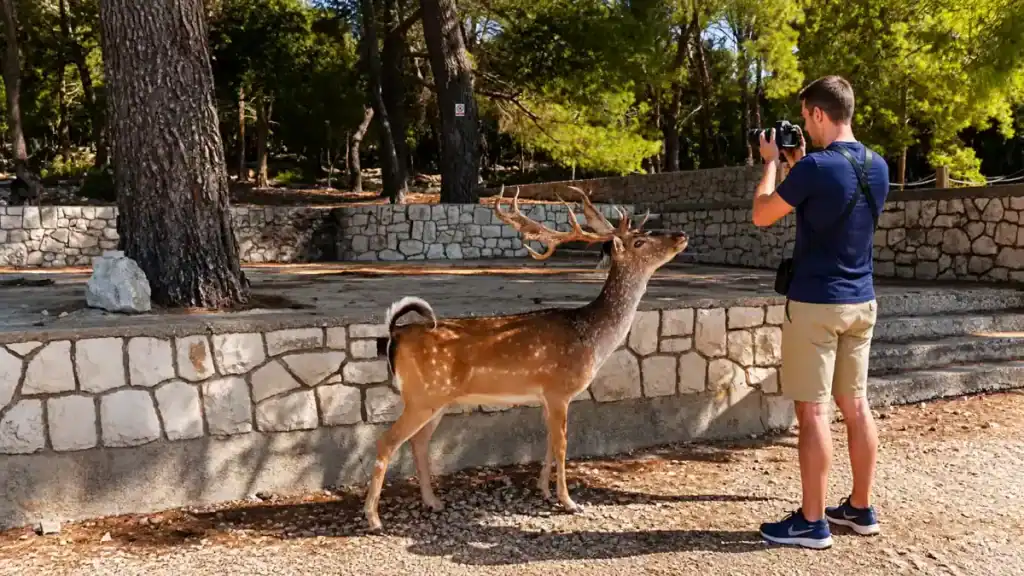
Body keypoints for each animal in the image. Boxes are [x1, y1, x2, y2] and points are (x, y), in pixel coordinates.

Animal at [363, 185, 689, 532]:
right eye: (639, 241)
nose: (680, 235)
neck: (591, 339)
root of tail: (395, 334)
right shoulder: (559, 389)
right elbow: (562, 445)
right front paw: (568, 502)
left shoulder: (545, 395)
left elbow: (547, 443)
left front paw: (543, 489)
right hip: (422, 395)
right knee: (386, 441)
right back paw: (373, 518)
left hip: (435, 400)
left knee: (418, 443)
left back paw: (433, 501)